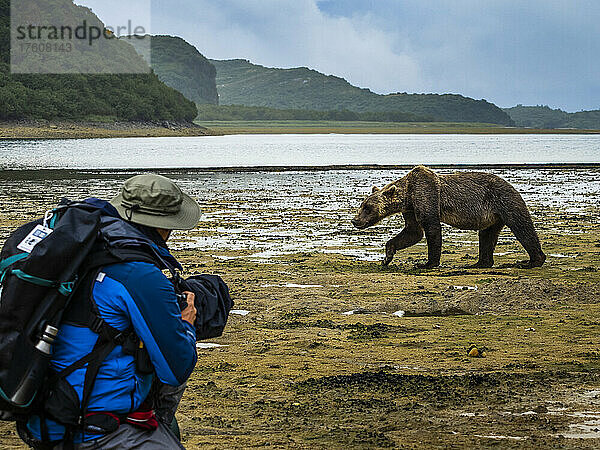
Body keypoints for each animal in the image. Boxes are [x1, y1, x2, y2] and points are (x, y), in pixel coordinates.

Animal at [352, 167, 544, 268]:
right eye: (362, 205)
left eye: (367, 208)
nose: (355, 220)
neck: (409, 194)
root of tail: (512, 186)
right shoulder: (411, 209)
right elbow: (412, 232)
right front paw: (387, 257)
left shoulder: (427, 195)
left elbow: (431, 229)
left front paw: (428, 263)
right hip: (493, 216)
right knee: (486, 235)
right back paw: (480, 263)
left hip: (505, 201)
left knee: (522, 227)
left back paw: (532, 261)